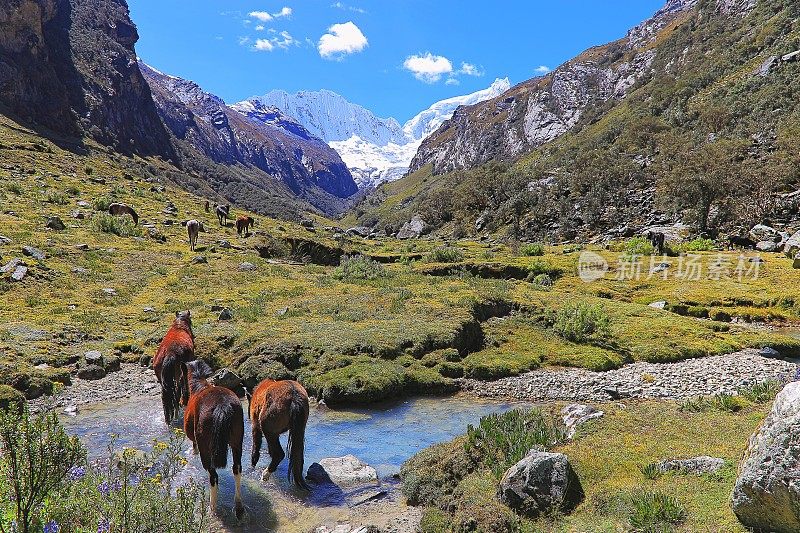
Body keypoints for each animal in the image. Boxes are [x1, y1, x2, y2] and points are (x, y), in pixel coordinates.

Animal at [180, 358, 245, 516]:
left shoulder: (196, 442)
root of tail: (223, 405)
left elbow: (194, 448)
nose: (181, 401)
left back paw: (212, 508)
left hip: (206, 449)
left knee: (213, 476)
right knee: (237, 469)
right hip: (236, 443)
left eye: (180, 379)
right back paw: (238, 506)